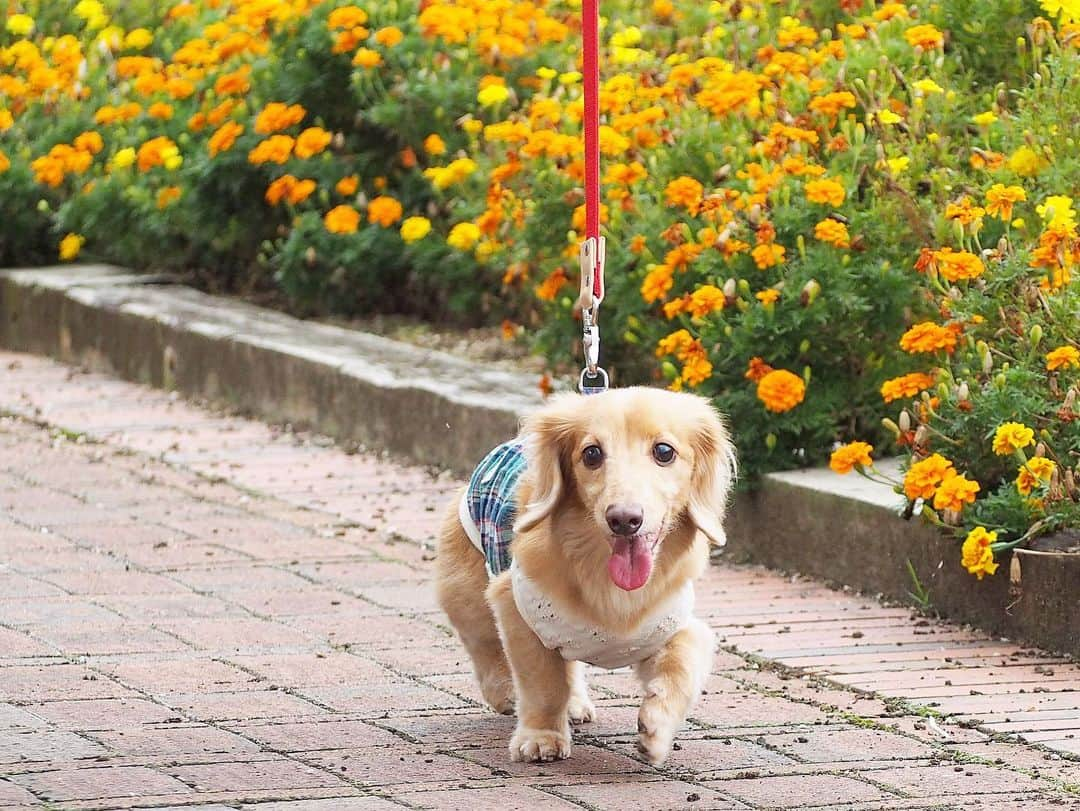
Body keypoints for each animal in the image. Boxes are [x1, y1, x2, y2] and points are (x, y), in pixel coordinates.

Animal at [434, 388, 738, 768]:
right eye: (591, 453)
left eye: (664, 451)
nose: (624, 519)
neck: (607, 583)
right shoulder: (517, 610)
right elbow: (543, 684)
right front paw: (541, 737)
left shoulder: (666, 628)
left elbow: (682, 663)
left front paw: (657, 727)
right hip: (468, 595)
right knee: (485, 646)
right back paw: (505, 691)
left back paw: (575, 704)